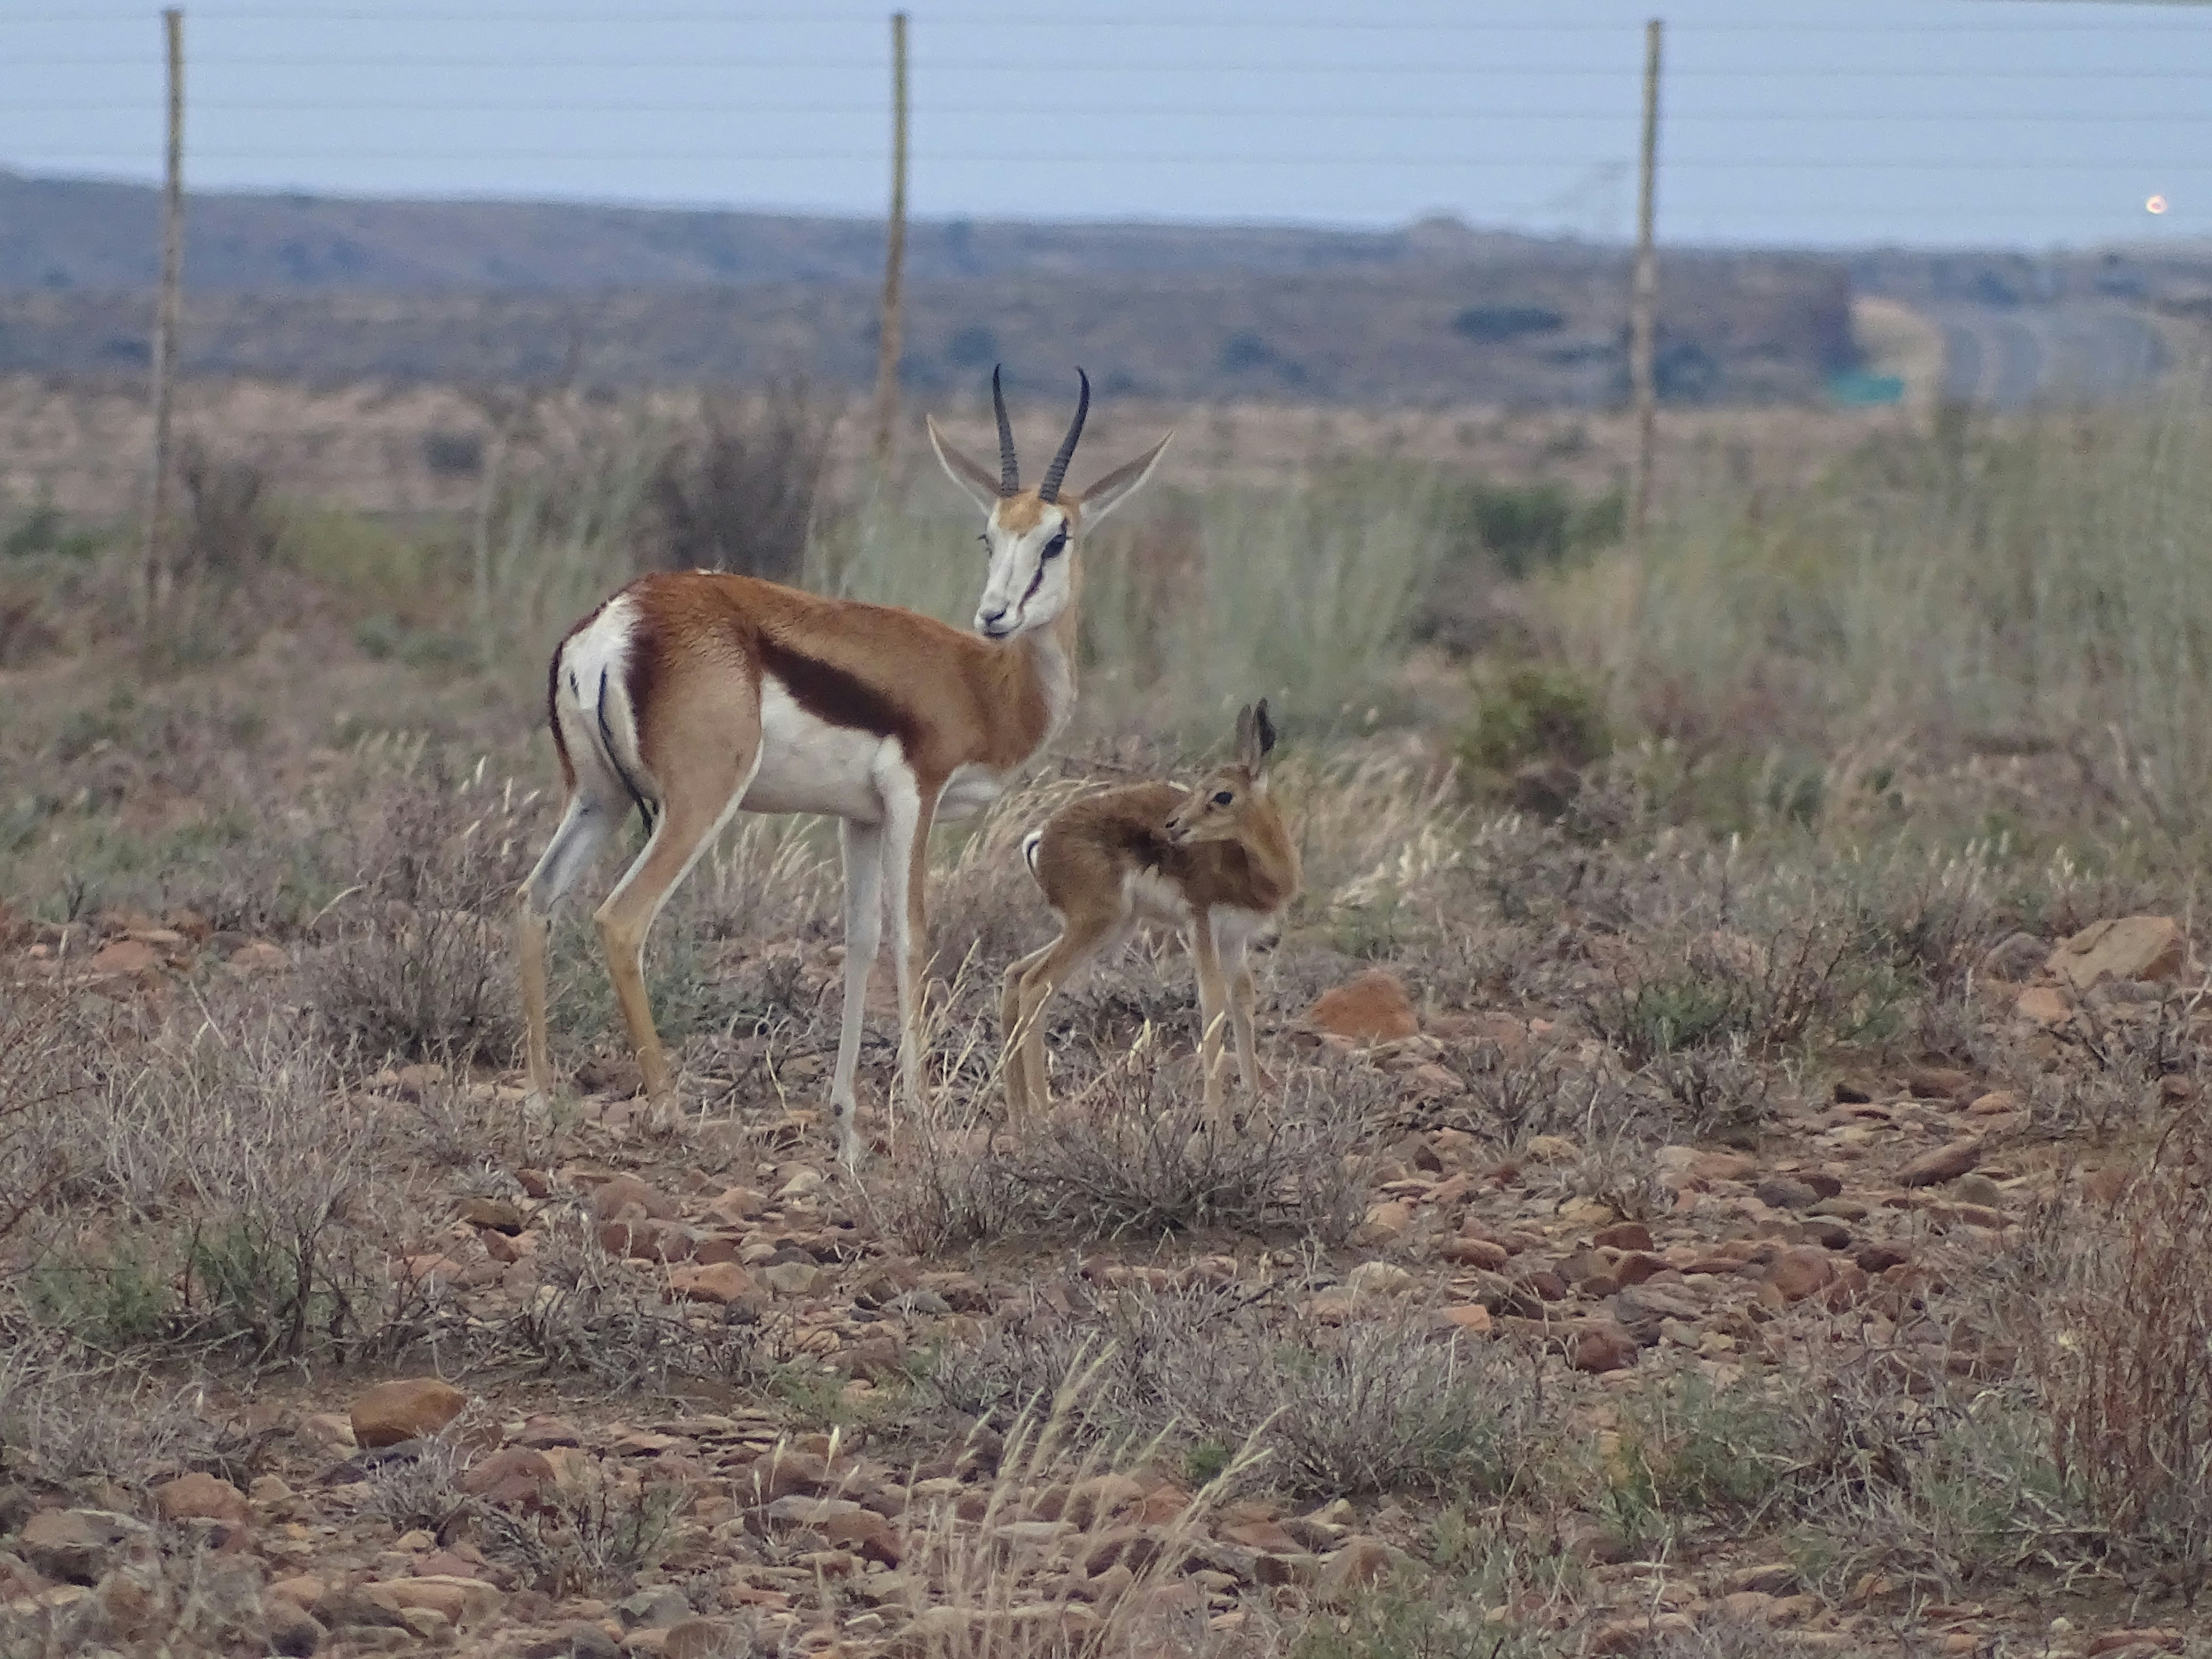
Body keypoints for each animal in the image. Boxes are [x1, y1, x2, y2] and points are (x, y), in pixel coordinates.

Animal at [514, 369, 1172, 1167]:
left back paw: (542, 1098)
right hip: (697, 803)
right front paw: (919, 1112)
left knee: (535, 897)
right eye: (990, 534)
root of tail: (614, 622)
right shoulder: (915, 796)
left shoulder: (858, 817)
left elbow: (858, 942)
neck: (982, 681)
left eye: (1056, 538)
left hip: (598, 799)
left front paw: (847, 1121)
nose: (995, 616)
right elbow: (911, 934)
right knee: (620, 917)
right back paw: (670, 1109)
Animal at [1000, 701, 1300, 1118]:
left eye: (1222, 795)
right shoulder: (1201, 925)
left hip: (1109, 931)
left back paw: (1019, 1119)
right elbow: (1213, 999)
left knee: (1015, 975)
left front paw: (1255, 1106)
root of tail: (1041, 839)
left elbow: (1242, 1001)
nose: (1172, 825)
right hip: (1096, 928)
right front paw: (1216, 1116)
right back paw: (1044, 1115)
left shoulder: (1234, 939)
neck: (1251, 868)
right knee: (1036, 984)